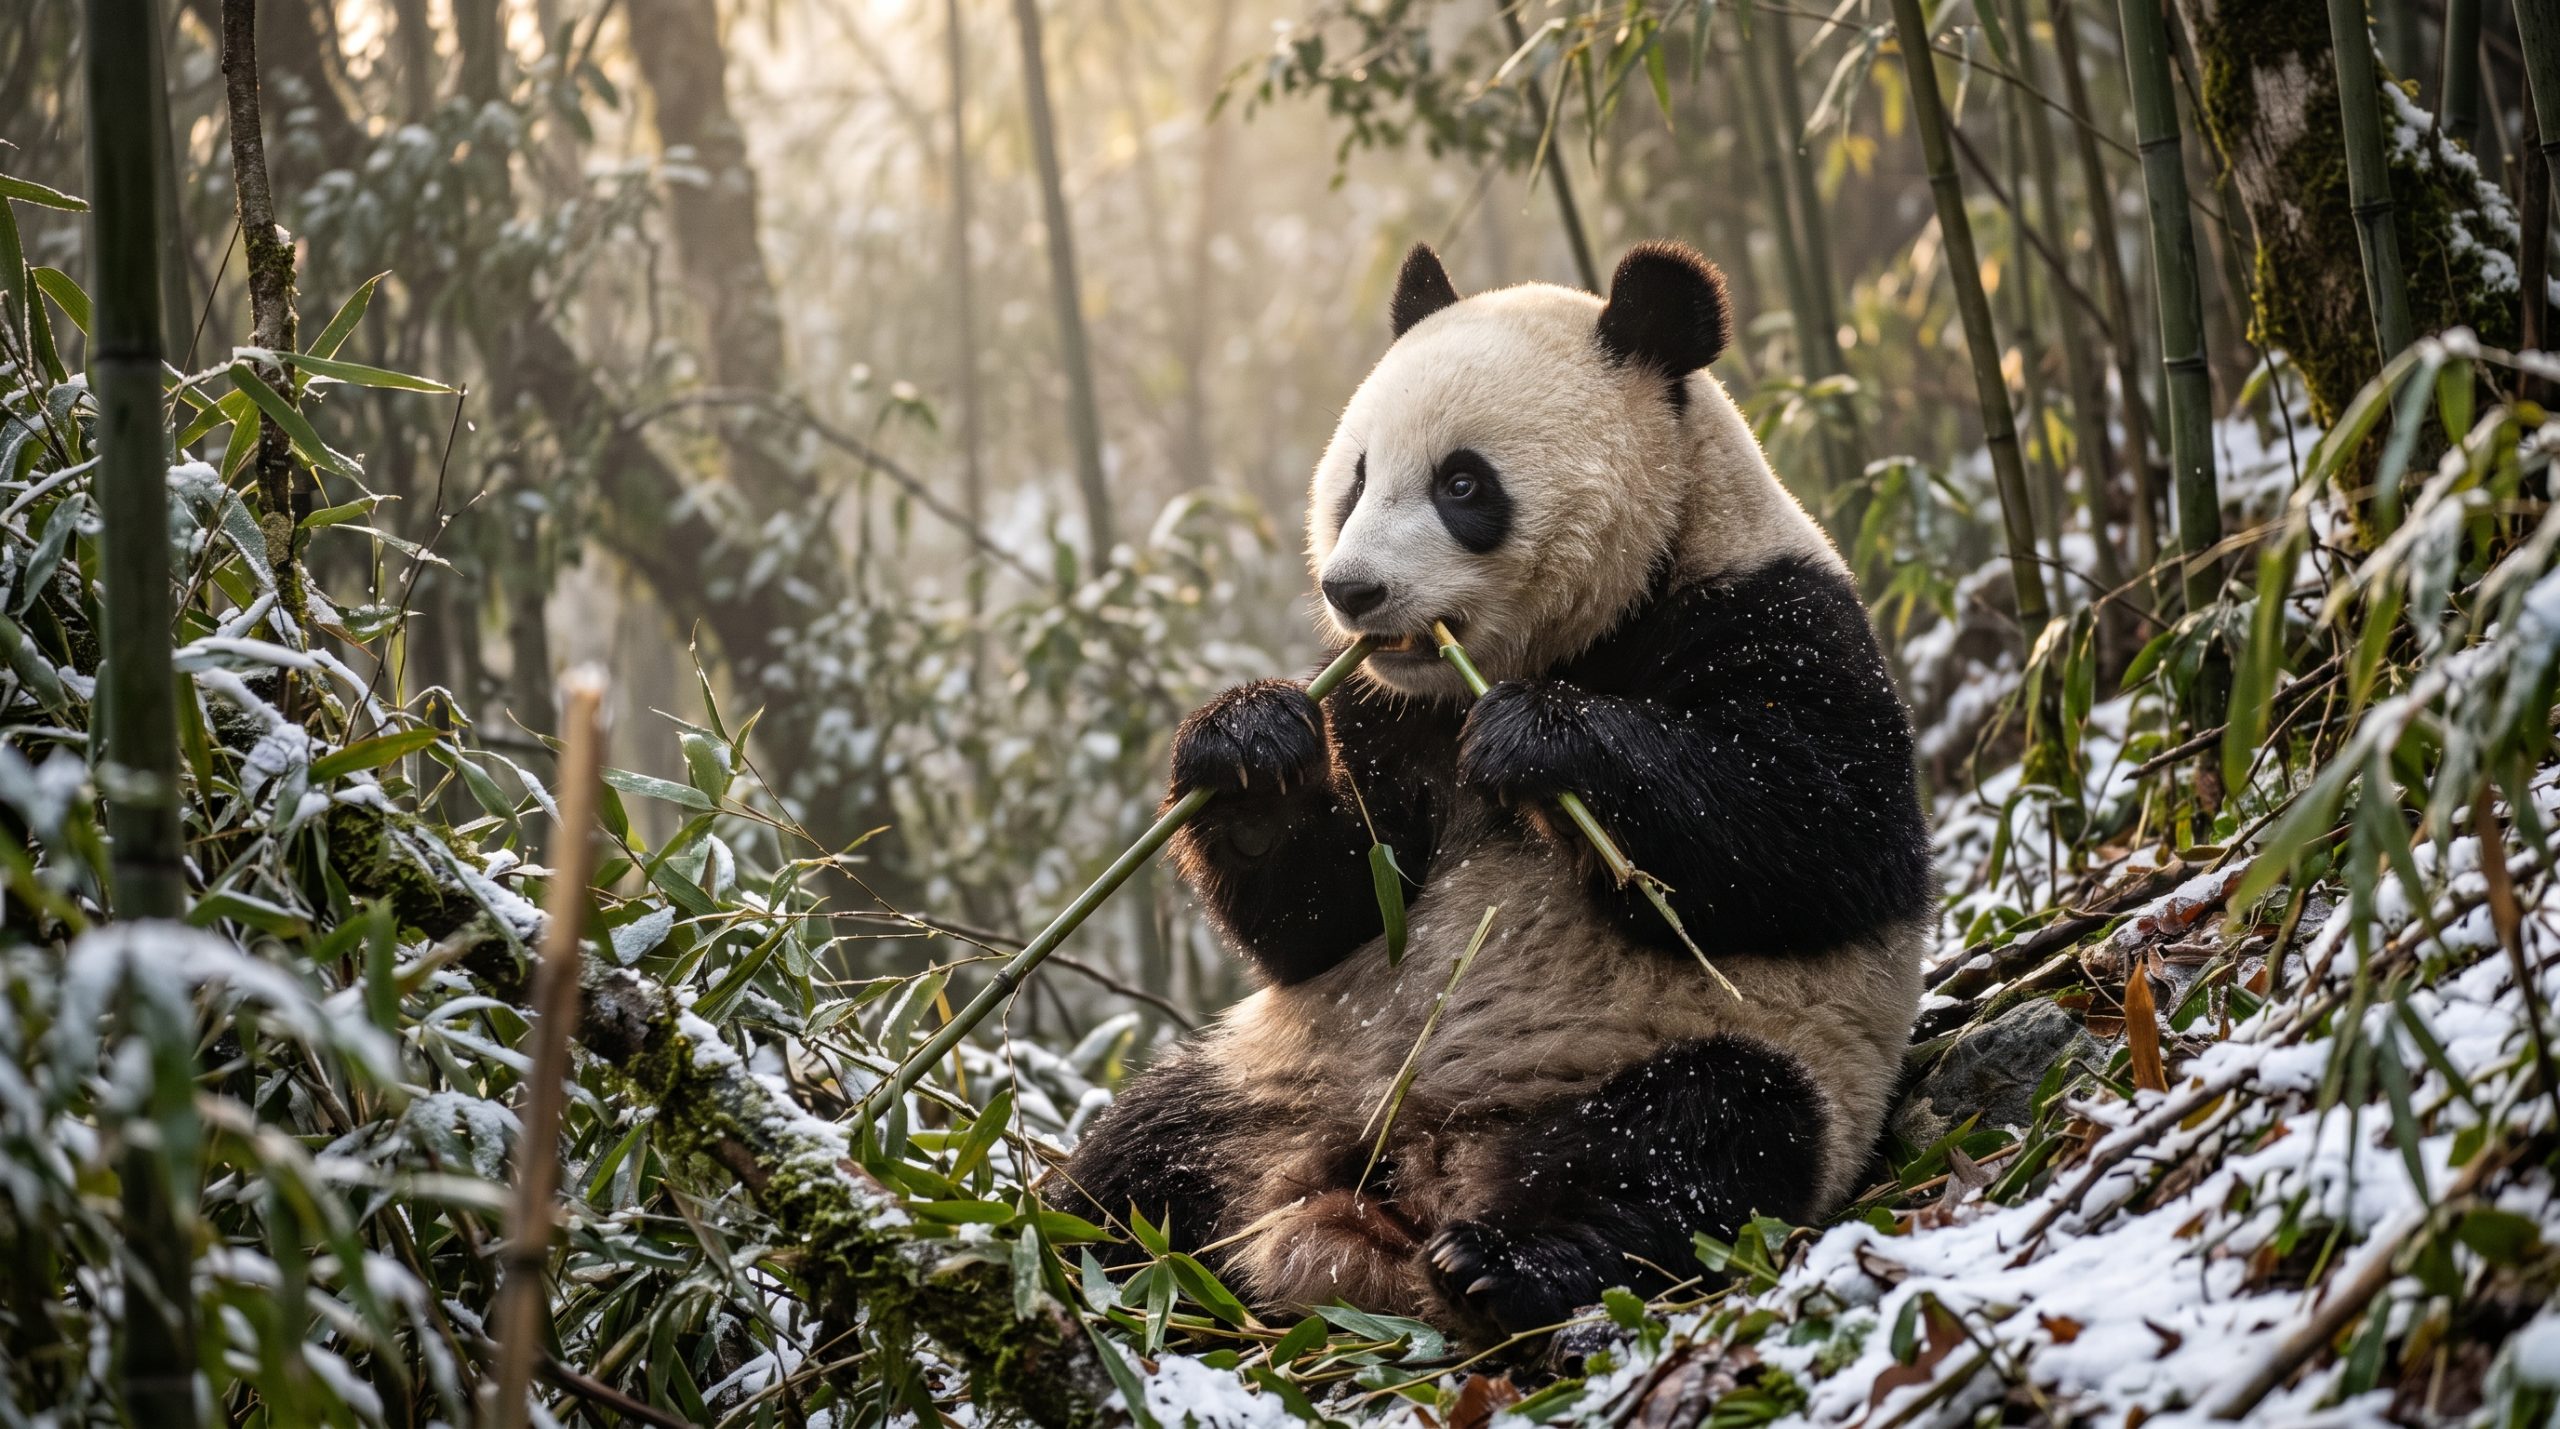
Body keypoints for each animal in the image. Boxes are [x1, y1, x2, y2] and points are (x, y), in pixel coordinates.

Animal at [1048, 241, 1932, 1348]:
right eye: (1356, 479)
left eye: (1462, 483)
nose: (1353, 591)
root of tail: (1401, 1180)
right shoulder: (1383, 706)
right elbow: (1328, 912)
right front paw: (1249, 742)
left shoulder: (1777, 612)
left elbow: (1820, 838)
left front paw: (1539, 740)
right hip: (1278, 1076)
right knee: (1140, 1154)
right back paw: (1058, 1254)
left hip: (1715, 1055)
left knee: (1702, 1136)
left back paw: (1510, 1260)